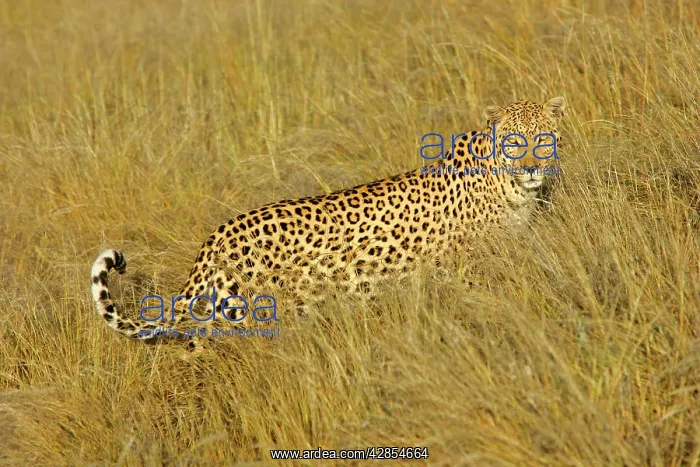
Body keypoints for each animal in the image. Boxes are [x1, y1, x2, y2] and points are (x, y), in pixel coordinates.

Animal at [90, 96, 566, 349]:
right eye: (514, 143)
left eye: (543, 140)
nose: (531, 168)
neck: (510, 187)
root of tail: (216, 237)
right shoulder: (465, 269)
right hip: (256, 316)